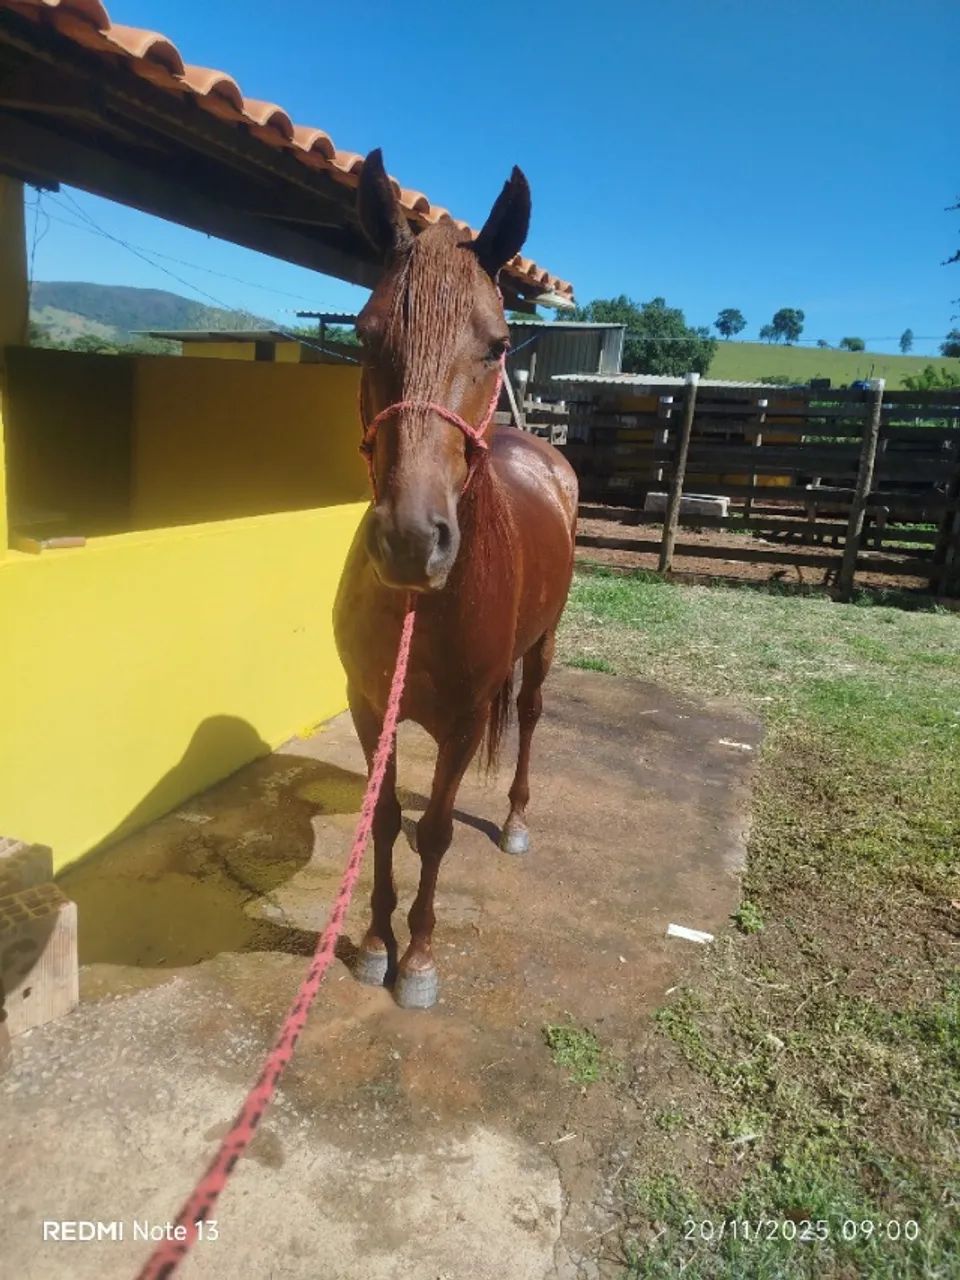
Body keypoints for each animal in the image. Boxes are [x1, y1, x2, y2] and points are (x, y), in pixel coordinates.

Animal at [333, 150, 578, 1009]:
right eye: (366, 335)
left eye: (498, 343)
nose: (412, 542)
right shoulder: (369, 706)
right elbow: (382, 821)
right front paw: (376, 943)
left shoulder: (467, 721)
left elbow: (435, 832)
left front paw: (418, 959)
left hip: (544, 645)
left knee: (530, 716)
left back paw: (515, 821)